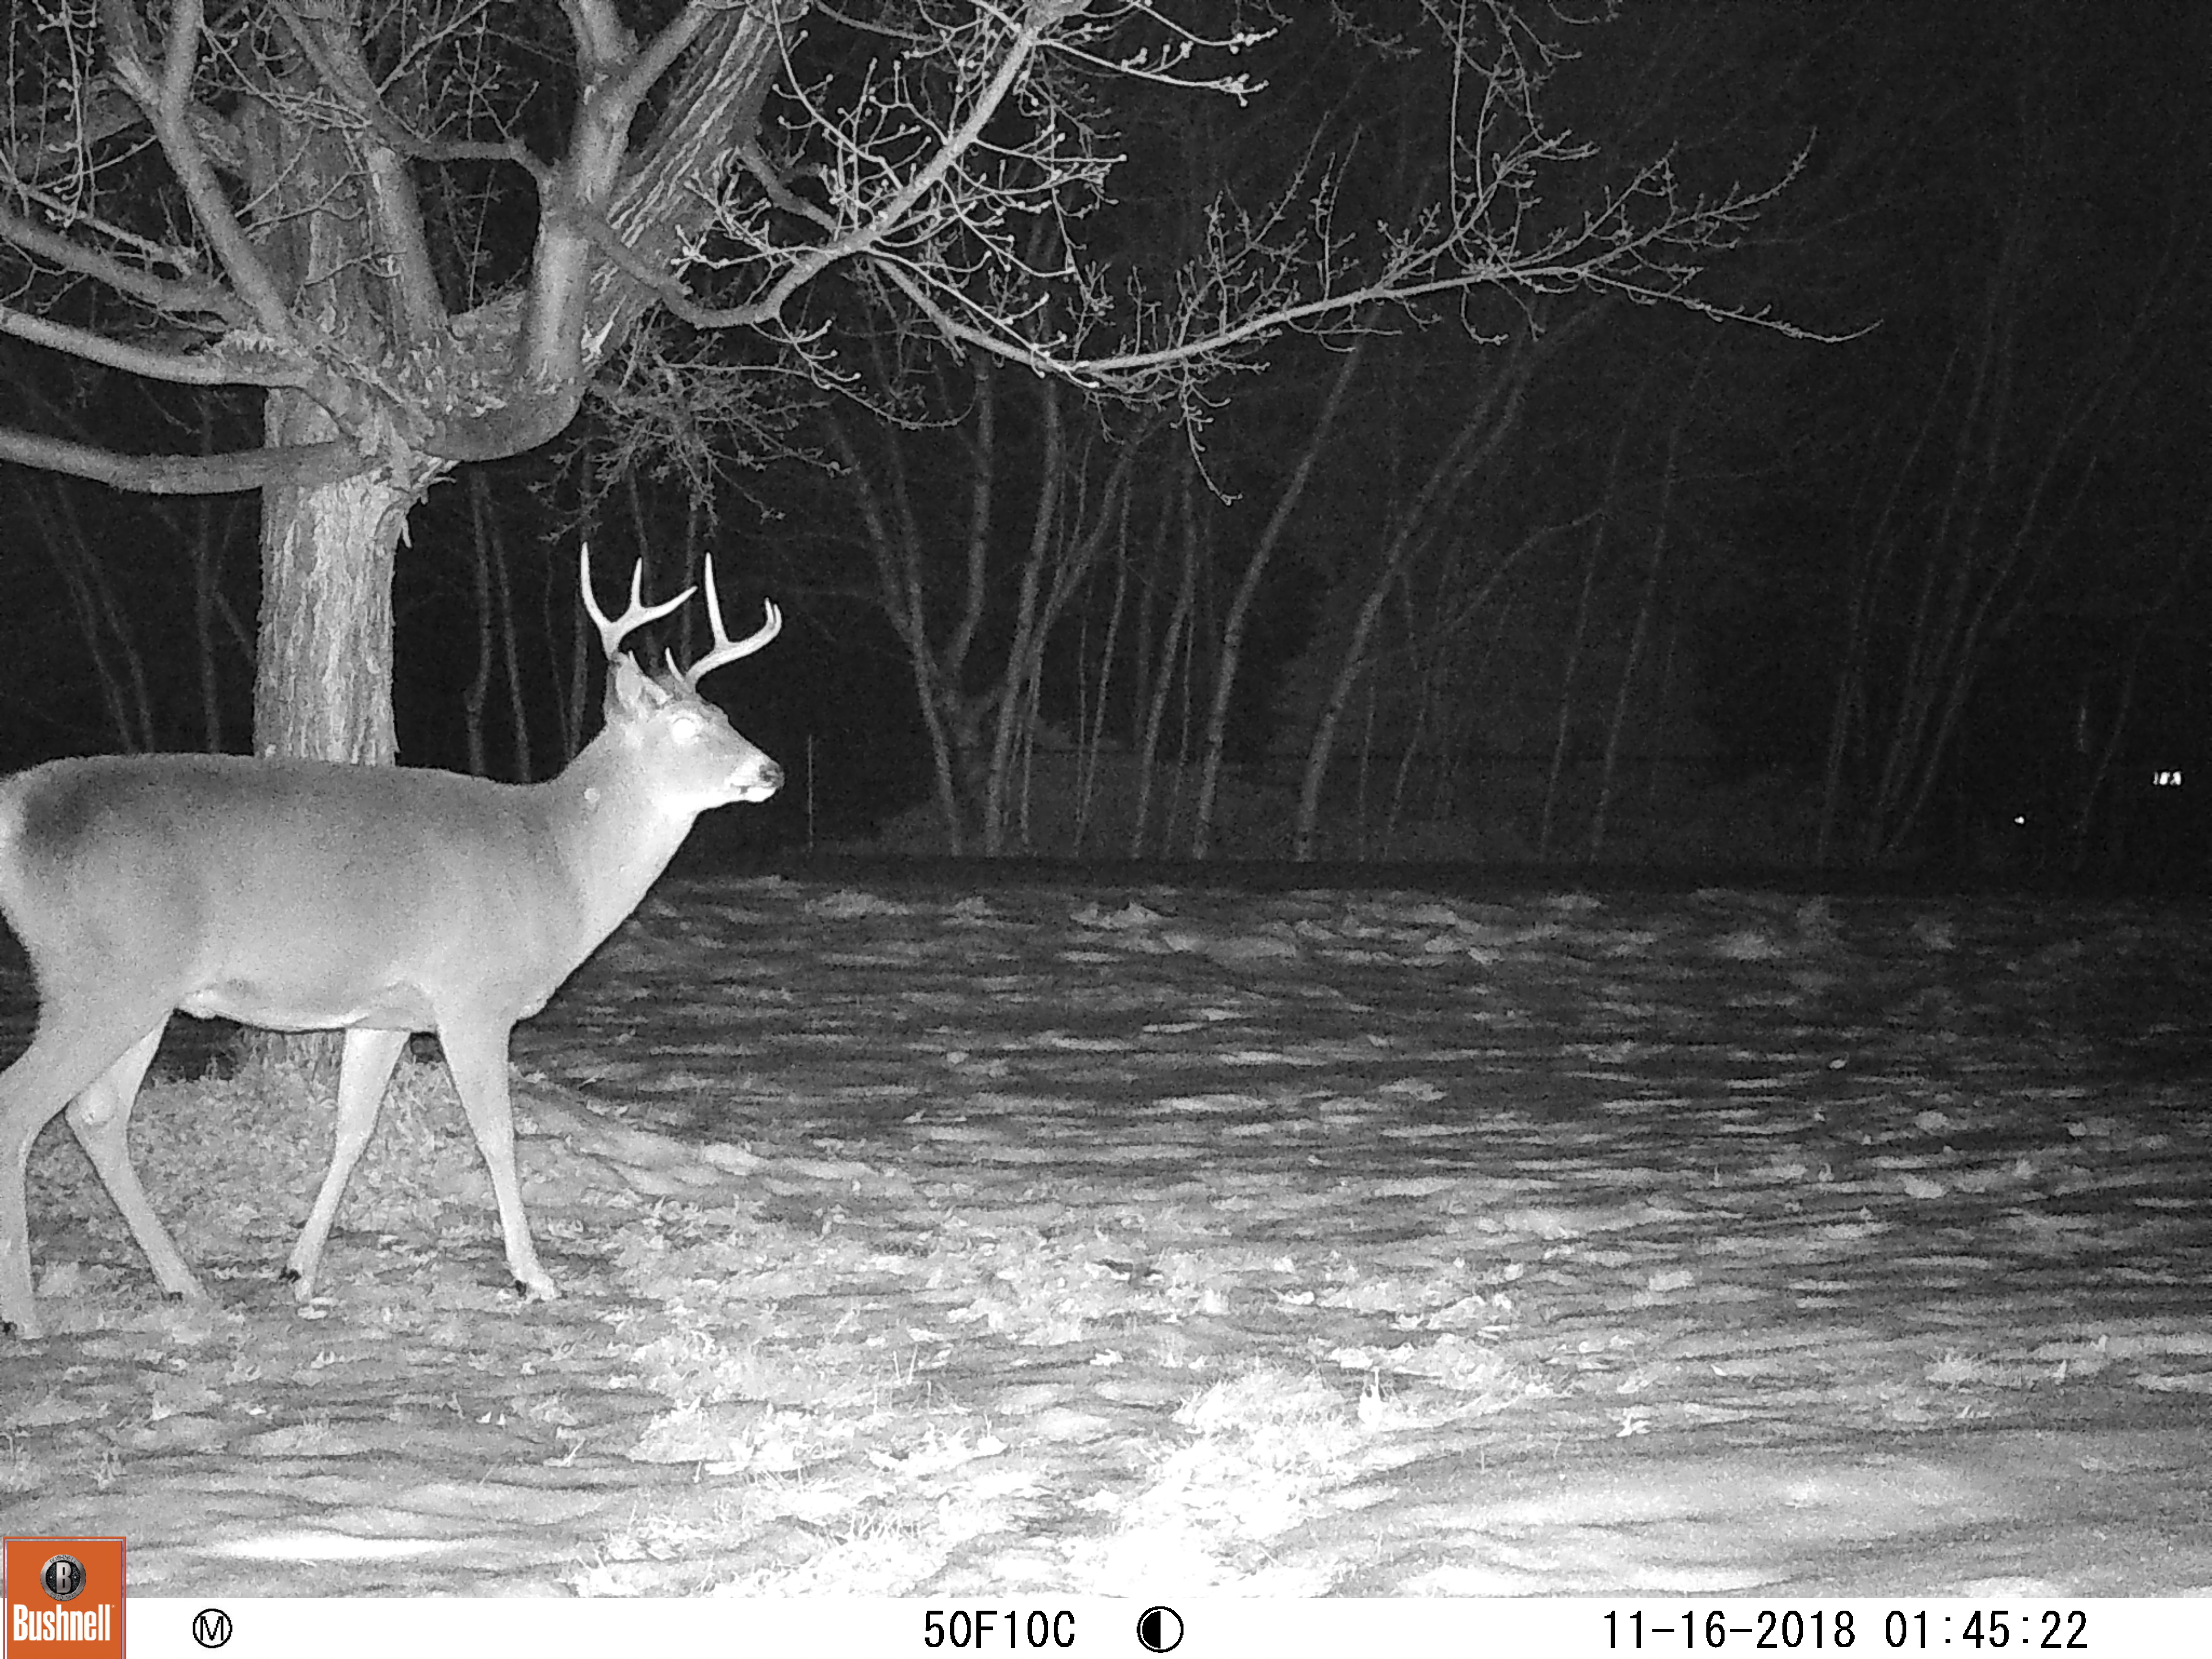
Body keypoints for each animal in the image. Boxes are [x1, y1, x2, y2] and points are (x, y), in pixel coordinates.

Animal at [0, 546, 781, 1340]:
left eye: (724, 715)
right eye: (686, 729)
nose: (770, 771)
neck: (558, 864)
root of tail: (16, 807)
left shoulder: (386, 1015)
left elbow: (352, 1128)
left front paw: (299, 1271)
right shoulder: (473, 998)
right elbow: (496, 1135)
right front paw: (534, 1277)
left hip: (144, 992)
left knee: (95, 1116)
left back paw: (184, 1284)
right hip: (97, 975)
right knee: (20, 1109)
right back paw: (28, 1315)